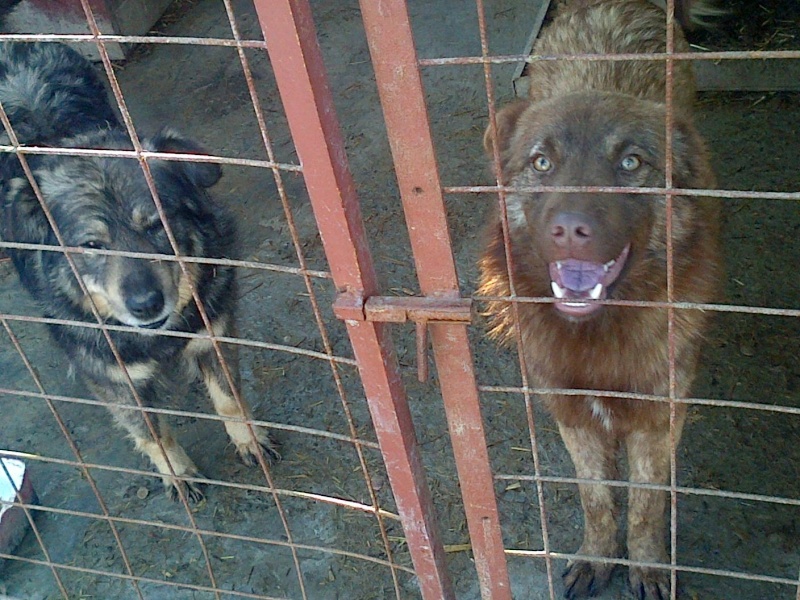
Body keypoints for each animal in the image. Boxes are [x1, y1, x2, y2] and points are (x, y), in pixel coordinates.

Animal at [0, 42, 276, 502]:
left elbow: (229, 399)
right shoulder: (113, 379)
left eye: (157, 225)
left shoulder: (215, 332)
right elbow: (152, 434)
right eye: (92, 245)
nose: (146, 305)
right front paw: (177, 473)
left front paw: (249, 440)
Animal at [478, 1, 720, 600]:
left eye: (631, 163)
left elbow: (646, 504)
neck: (599, 331)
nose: (569, 230)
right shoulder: (572, 414)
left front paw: (648, 566)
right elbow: (595, 497)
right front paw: (597, 555)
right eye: (541, 163)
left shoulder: (659, 417)